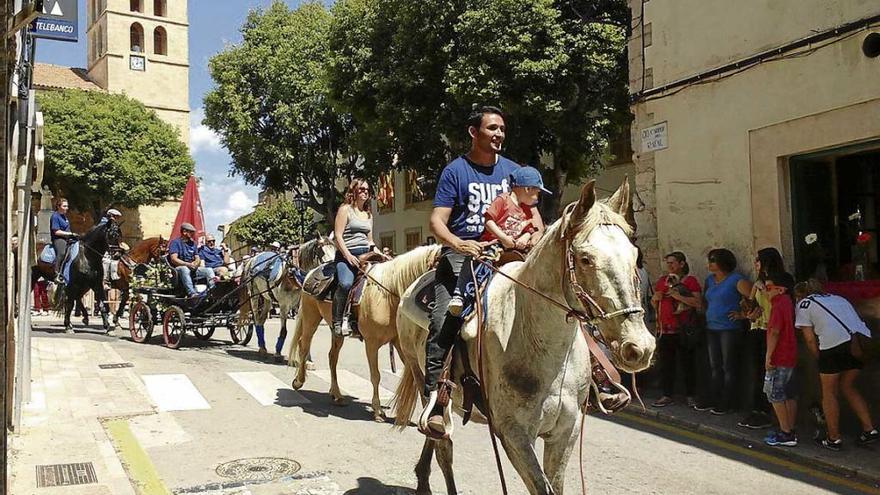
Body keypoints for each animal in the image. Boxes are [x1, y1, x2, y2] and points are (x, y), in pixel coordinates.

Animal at [392, 181, 652, 495]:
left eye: (635, 256)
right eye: (585, 259)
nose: (639, 347)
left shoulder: (566, 430)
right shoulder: (514, 433)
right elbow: (541, 488)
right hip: (420, 376)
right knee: (442, 445)